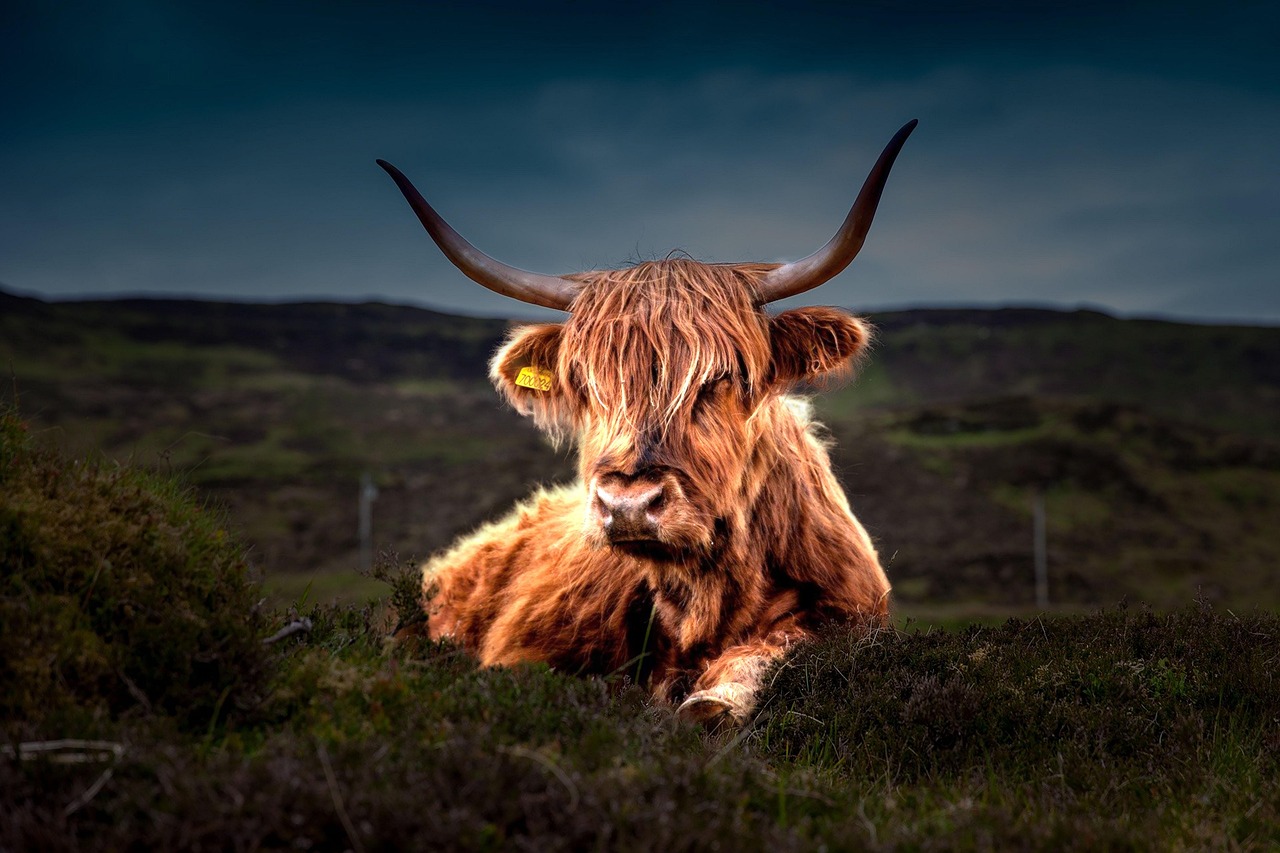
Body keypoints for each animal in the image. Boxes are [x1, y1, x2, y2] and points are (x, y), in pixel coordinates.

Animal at [377, 120, 916, 726]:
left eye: (723, 376)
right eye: (586, 384)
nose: (628, 504)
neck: (704, 599)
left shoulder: (849, 616)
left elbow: (775, 650)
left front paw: (713, 701)